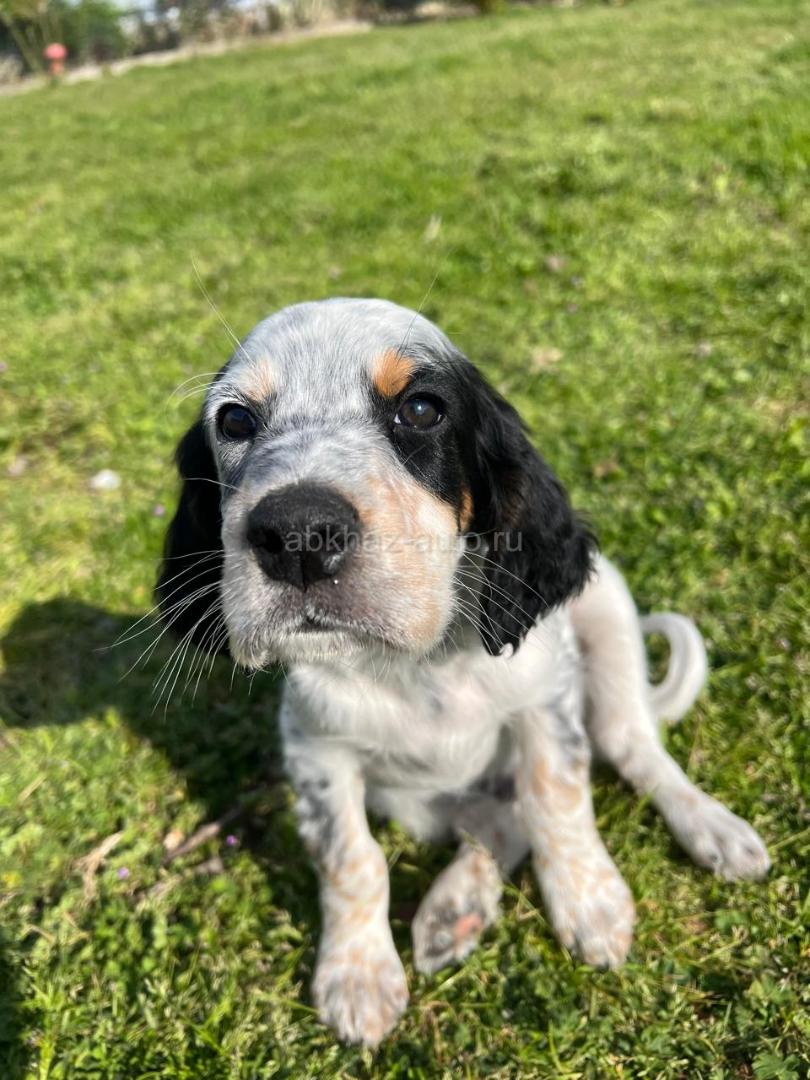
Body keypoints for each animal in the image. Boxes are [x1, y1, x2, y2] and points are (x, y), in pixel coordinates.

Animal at [157, 298, 770, 1046]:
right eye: (235, 422)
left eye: (421, 410)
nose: (297, 535)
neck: (413, 664)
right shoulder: (317, 751)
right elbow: (351, 858)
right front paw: (357, 974)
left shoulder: (545, 700)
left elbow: (558, 799)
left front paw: (590, 903)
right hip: (416, 798)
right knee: (497, 822)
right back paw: (456, 909)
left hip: (609, 615)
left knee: (631, 751)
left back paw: (713, 829)